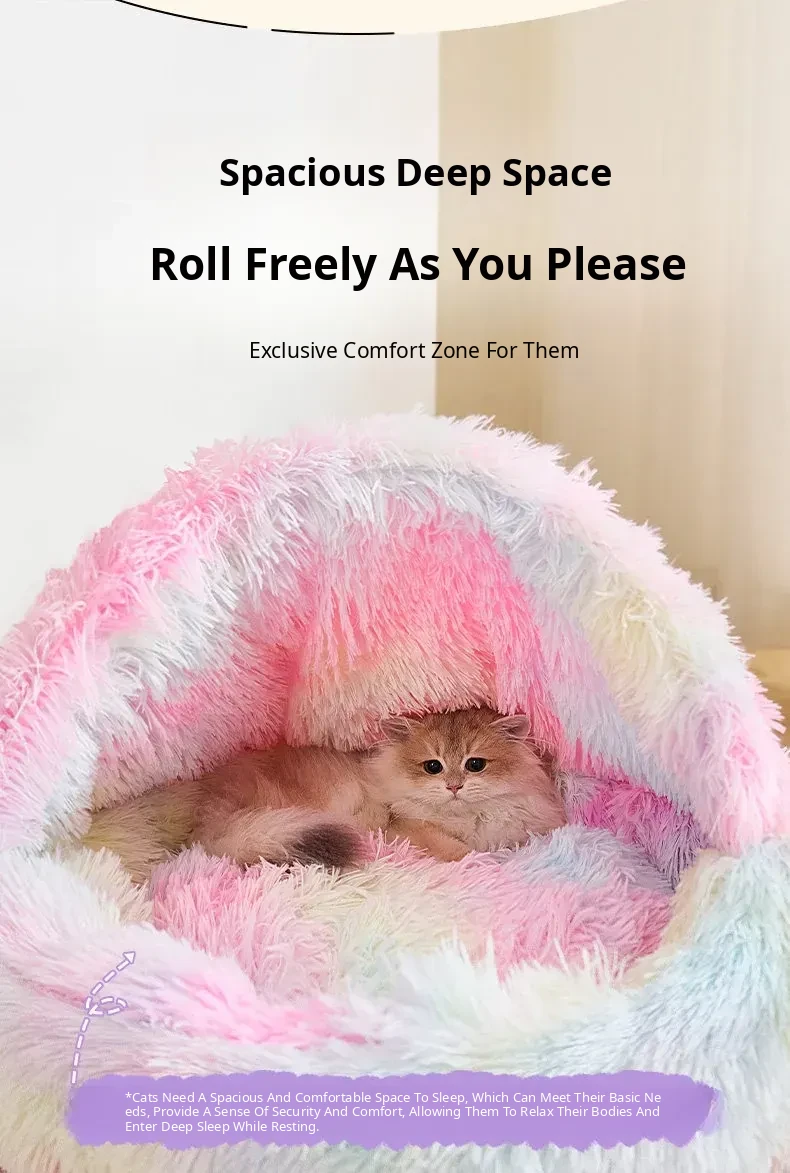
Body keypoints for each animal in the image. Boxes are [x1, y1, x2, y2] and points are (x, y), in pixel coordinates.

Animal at [80, 707, 566, 881]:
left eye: (475, 764)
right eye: (433, 766)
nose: (454, 786)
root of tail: (210, 815)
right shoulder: (409, 825)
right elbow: (456, 850)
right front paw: (476, 860)